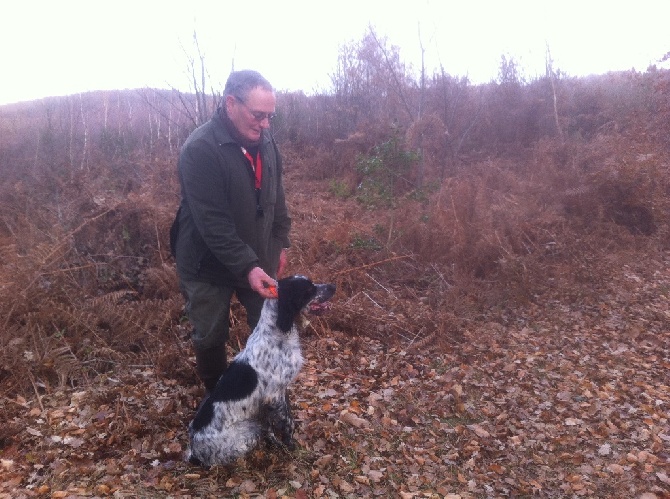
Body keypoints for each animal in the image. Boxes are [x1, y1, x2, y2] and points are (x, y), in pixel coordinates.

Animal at [186, 276, 336, 466]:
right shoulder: (274, 395)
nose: (333, 287)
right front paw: (291, 445)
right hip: (249, 429)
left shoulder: (276, 394)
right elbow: (288, 422)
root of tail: (194, 452)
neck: (277, 335)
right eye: (308, 289)